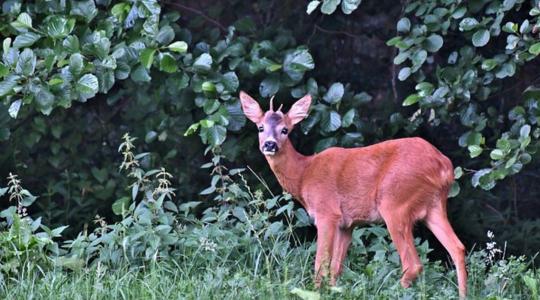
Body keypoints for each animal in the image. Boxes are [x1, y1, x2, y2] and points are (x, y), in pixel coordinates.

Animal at [240, 91, 468, 298]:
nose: (270, 144)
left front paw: (315, 292)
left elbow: (320, 264)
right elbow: (335, 268)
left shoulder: (326, 213)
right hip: (434, 206)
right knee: (457, 248)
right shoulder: (347, 224)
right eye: (260, 127)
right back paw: (463, 294)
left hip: (395, 202)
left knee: (413, 263)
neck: (304, 174)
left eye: (285, 130)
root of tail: (444, 165)